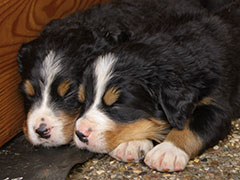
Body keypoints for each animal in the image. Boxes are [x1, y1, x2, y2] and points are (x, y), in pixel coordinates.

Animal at [74, 0, 239, 172]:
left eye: (117, 105)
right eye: (83, 101)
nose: (80, 133)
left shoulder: (216, 105)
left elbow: (193, 127)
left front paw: (168, 150)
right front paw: (132, 143)